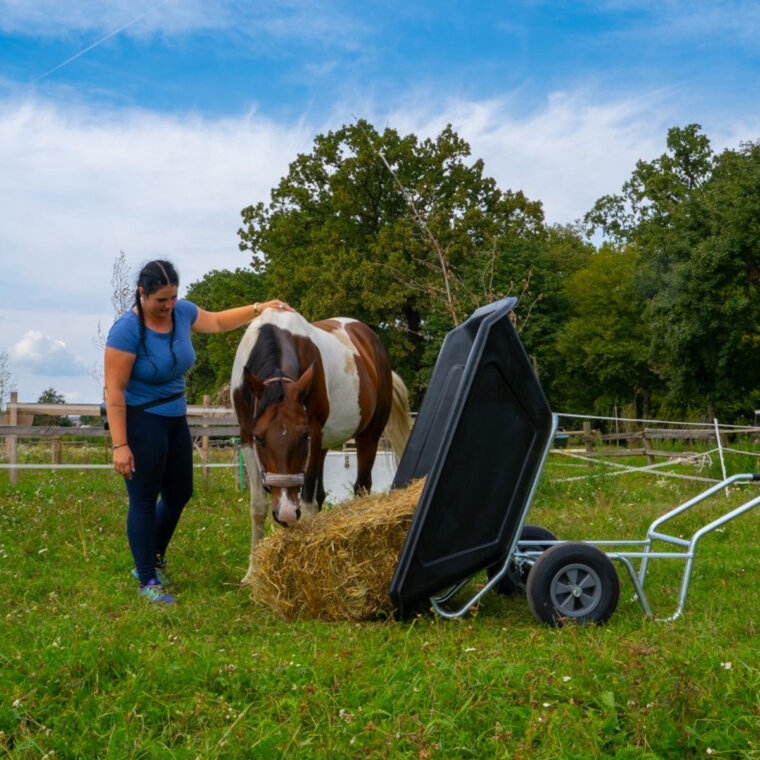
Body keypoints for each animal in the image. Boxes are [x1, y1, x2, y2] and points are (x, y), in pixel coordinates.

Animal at [232, 306, 412, 584]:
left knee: (361, 488)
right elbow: (258, 507)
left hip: (368, 436)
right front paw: (252, 574)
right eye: (260, 438)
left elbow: (306, 505)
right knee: (320, 496)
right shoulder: (246, 434)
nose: (285, 513)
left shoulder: (315, 435)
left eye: (303, 436)